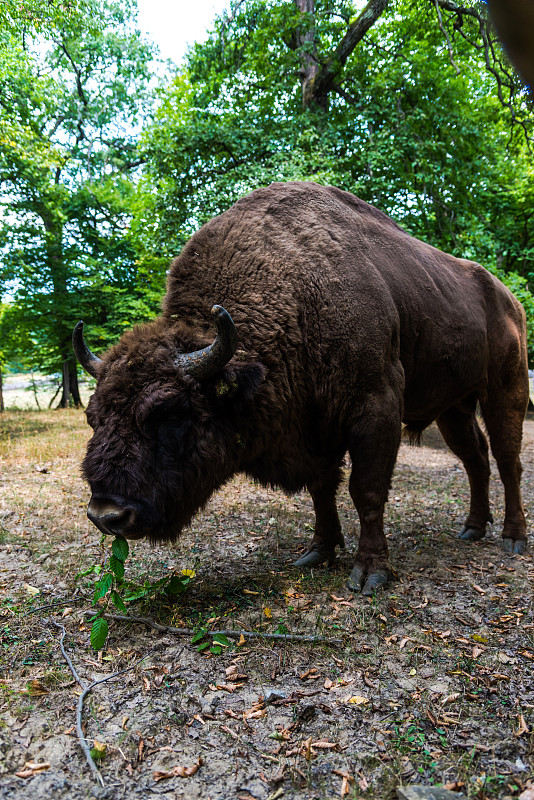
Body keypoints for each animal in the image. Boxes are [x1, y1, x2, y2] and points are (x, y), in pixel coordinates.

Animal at [73, 181, 528, 592]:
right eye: (92, 417)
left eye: (170, 413)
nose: (107, 515)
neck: (296, 295)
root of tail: (510, 300)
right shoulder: (312, 427)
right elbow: (321, 489)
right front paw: (317, 553)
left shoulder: (376, 407)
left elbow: (366, 490)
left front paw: (370, 572)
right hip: (454, 407)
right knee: (475, 458)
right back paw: (472, 528)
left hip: (507, 391)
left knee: (507, 460)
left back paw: (513, 538)